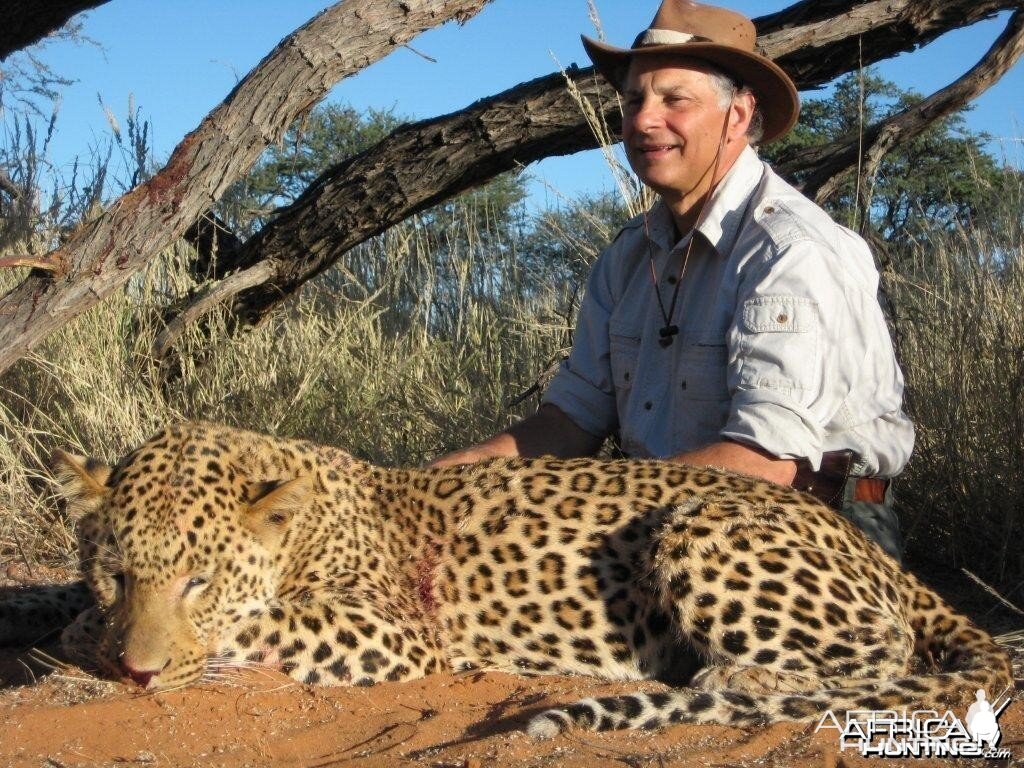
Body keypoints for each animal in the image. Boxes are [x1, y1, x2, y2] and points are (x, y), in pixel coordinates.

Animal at [0, 421, 1007, 741]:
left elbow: (263, 622)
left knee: (879, 662)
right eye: (119, 573)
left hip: (703, 530)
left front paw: (94, 646)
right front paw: (63, 615)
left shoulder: (395, 632)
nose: (136, 676)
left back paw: (722, 678)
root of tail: (865, 545)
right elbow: (59, 599)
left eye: (199, 582)